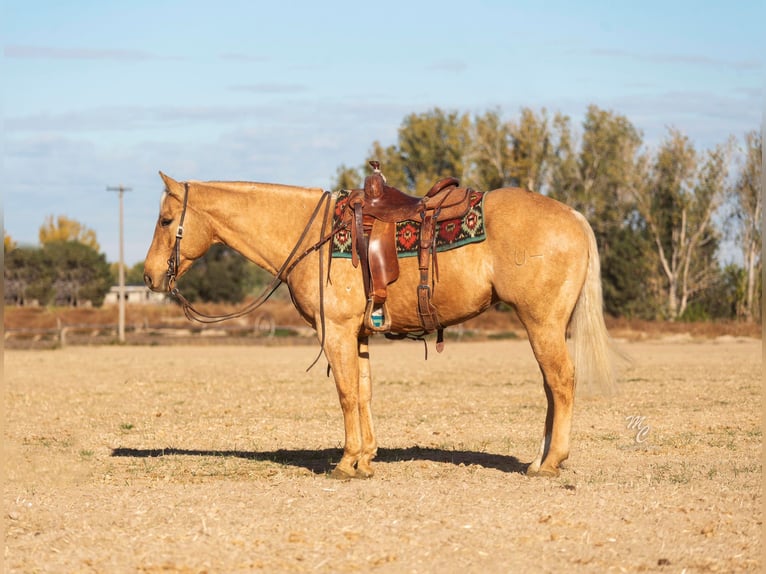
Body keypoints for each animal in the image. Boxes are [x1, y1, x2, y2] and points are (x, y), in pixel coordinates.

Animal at [144, 171, 616, 482]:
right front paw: (367, 458)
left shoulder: (335, 333)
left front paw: (347, 462)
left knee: (561, 382)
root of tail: (574, 216)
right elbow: (365, 391)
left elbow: (347, 394)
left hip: (543, 323)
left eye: (166, 220)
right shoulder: (358, 334)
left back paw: (551, 463)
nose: (149, 276)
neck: (312, 236)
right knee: (551, 388)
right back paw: (539, 459)